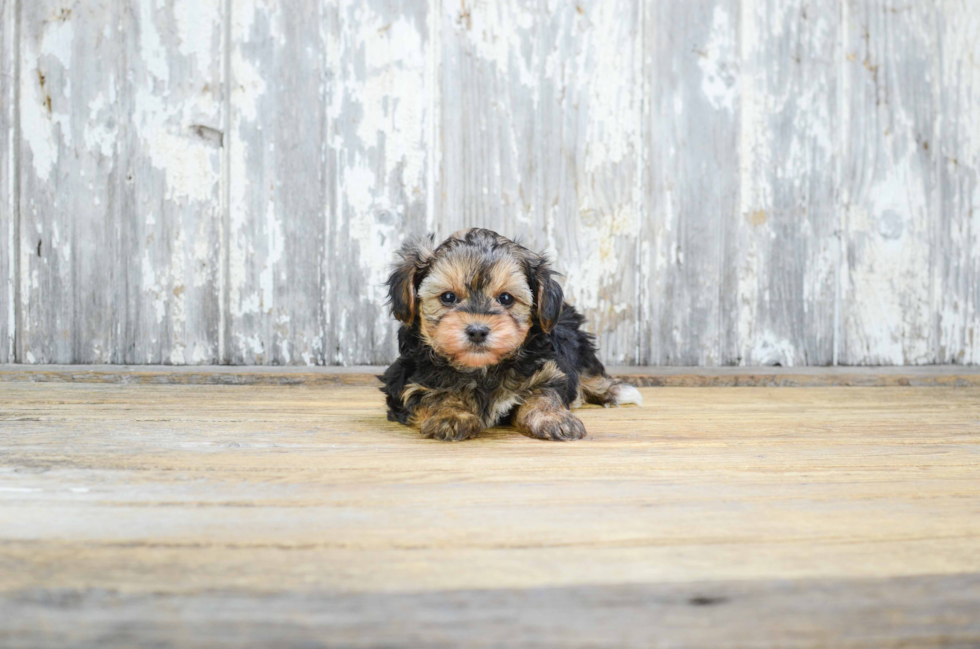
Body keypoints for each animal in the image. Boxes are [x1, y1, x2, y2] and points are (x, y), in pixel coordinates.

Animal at [380, 228, 644, 440]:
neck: (482, 369)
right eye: (447, 297)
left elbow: (543, 394)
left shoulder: (548, 369)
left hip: (576, 341)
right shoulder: (407, 381)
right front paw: (451, 415)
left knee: (589, 372)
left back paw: (615, 391)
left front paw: (554, 418)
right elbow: (434, 395)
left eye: (506, 298)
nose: (477, 331)